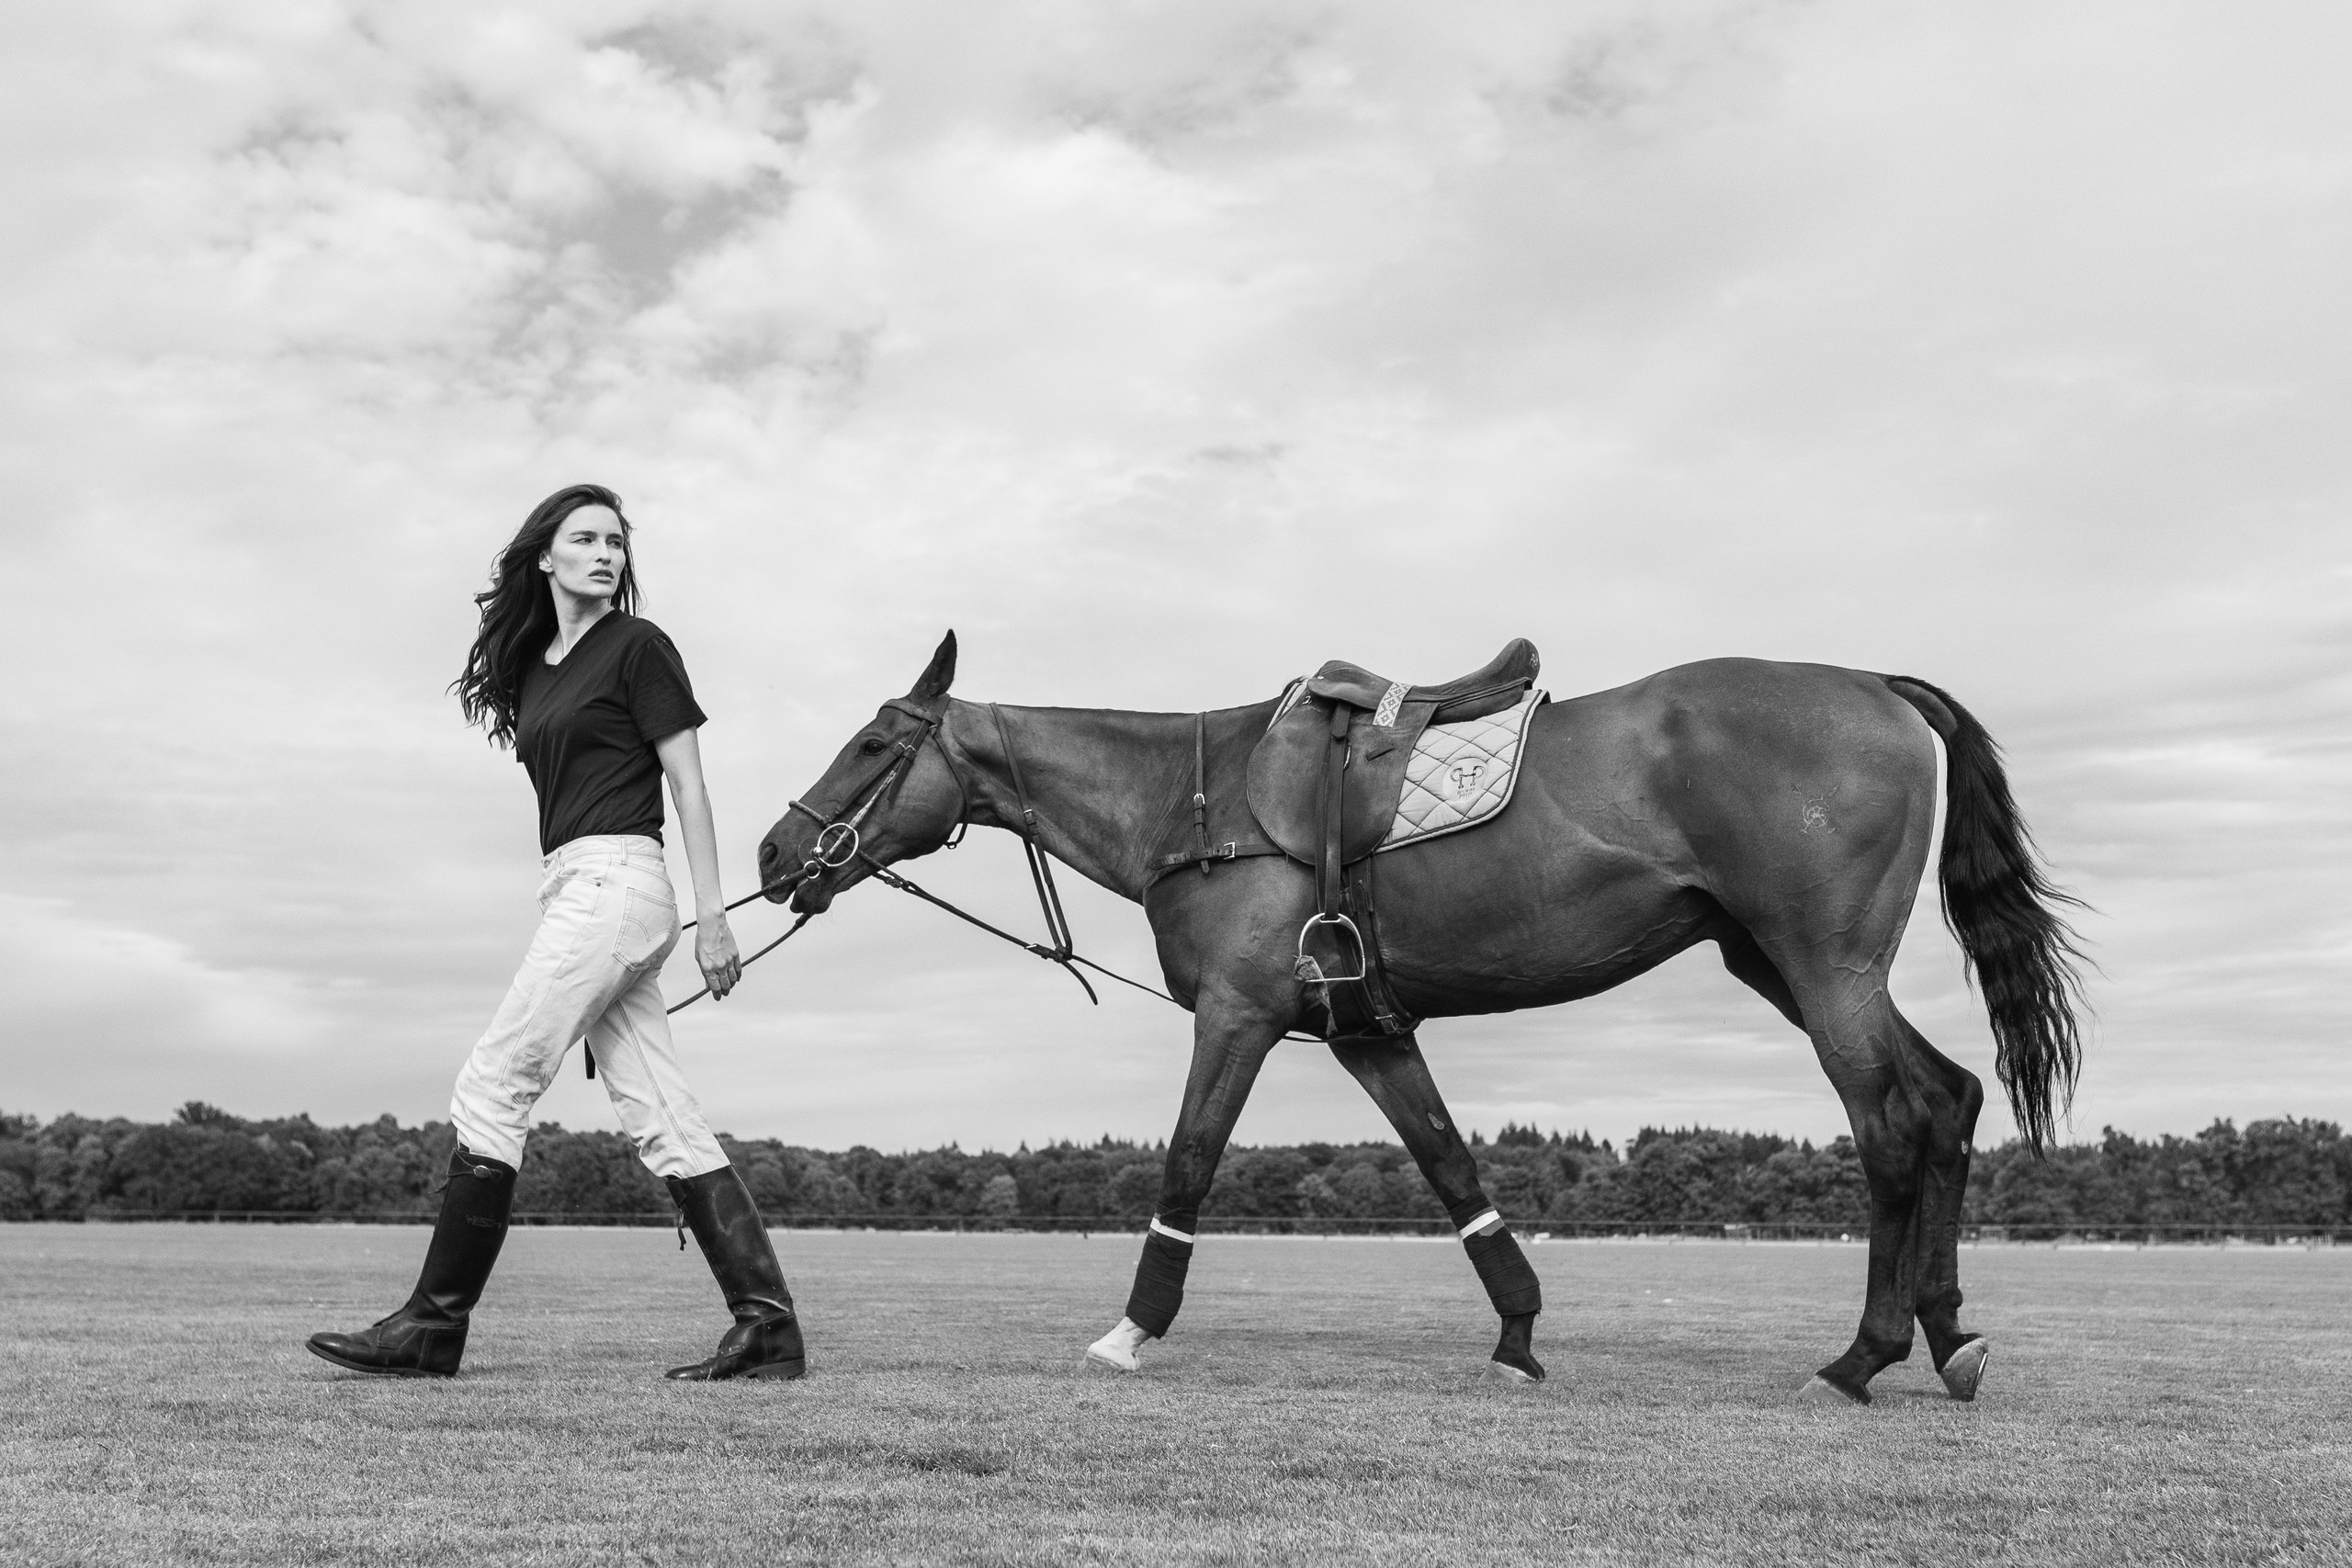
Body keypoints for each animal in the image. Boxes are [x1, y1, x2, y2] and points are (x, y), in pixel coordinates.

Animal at [756, 633, 2085, 1404]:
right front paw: (1519, 1332)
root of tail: (1875, 684)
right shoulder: (1367, 1027)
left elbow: (1187, 1164)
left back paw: (1864, 1355)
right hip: (1776, 956)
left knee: (1893, 1122)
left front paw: (1132, 1330)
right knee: (1949, 1096)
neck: (1185, 801)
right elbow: (1453, 1171)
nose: (774, 854)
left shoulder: (1238, 1013)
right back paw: (1948, 1337)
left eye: (870, 742)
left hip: (1821, 959)